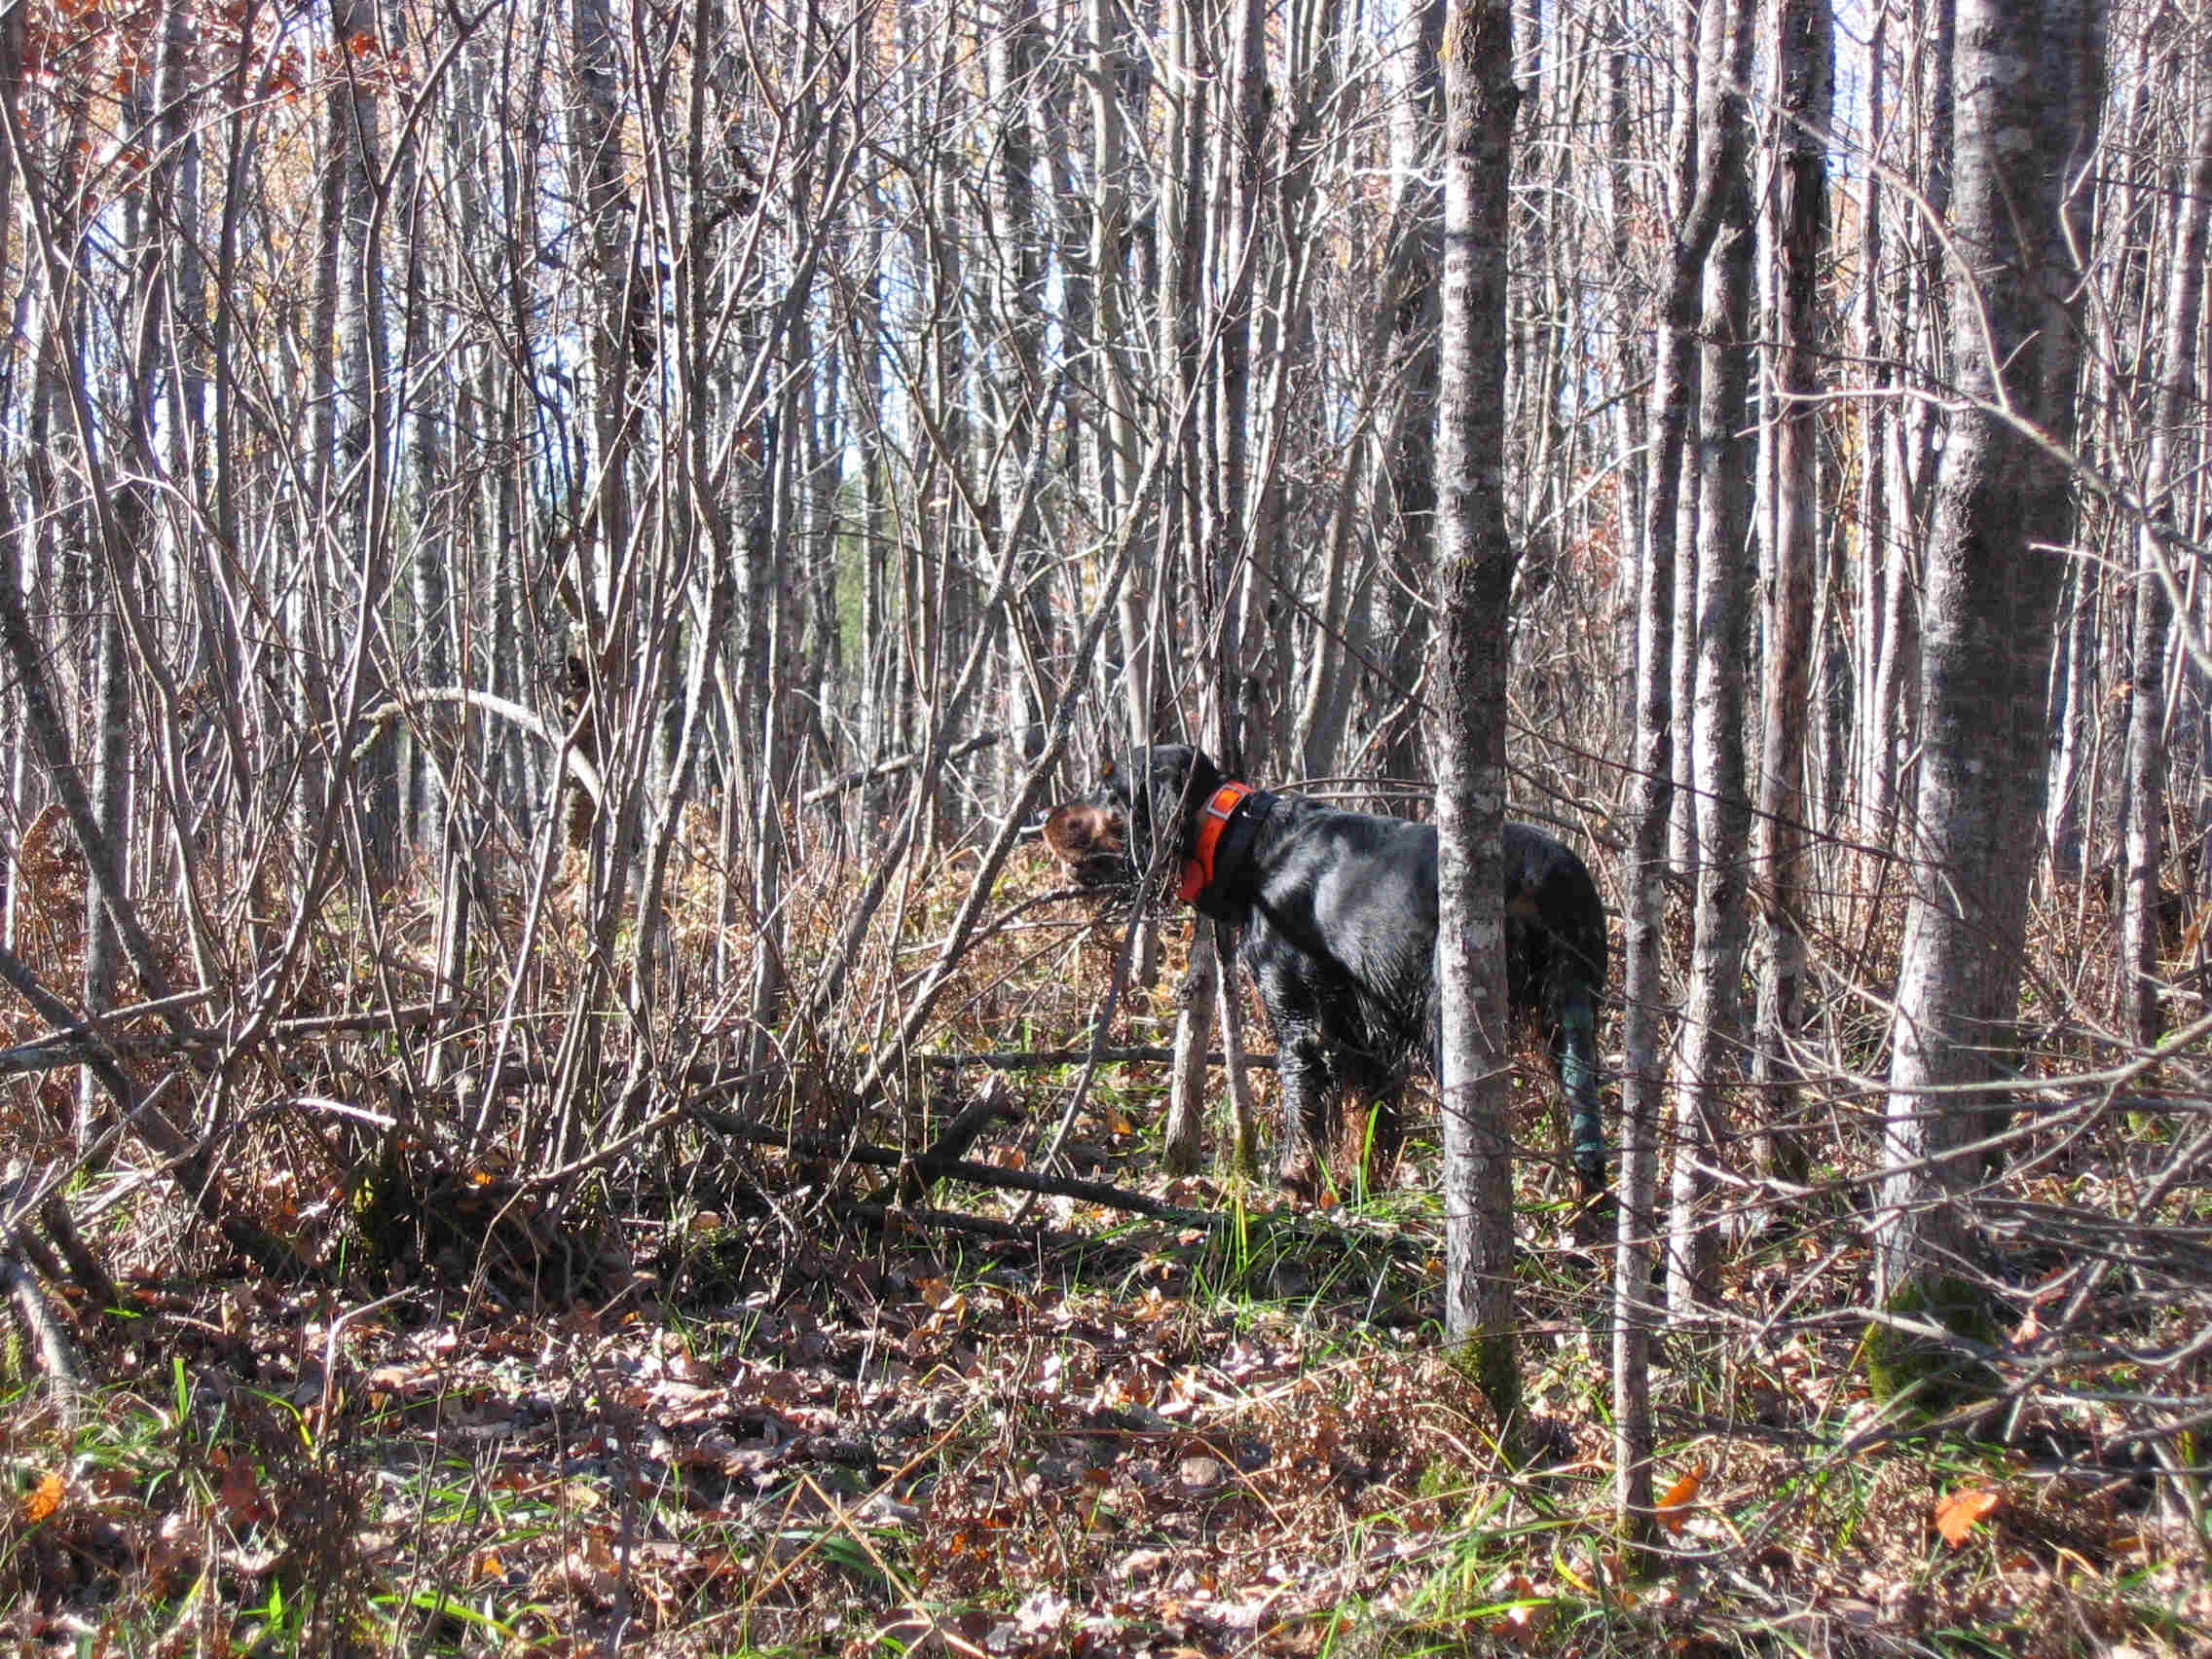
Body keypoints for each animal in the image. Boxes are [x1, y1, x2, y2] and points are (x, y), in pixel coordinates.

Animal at [1044, 747, 1601, 1202]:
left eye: (1108, 789)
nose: (1045, 819)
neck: (1250, 845)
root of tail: (1551, 873)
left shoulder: (1302, 1024)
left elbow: (1305, 1118)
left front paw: (1293, 1190)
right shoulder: (1368, 1032)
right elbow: (1370, 1124)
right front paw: (1361, 1194)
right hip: (1570, 1013)